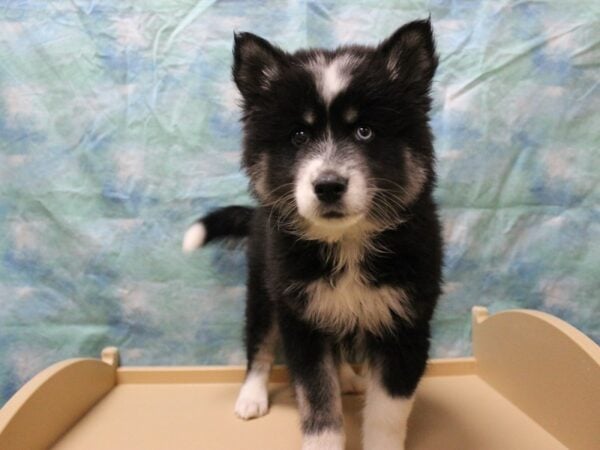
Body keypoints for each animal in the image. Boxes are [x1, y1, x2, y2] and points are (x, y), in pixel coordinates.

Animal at [185, 19, 442, 450]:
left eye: (365, 131)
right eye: (299, 136)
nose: (328, 186)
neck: (347, 243)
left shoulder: (406, 321)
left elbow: (388, 413)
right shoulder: (300, 318)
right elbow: (318, 402)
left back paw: (350, 378)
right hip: (264, 287)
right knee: (259, 344)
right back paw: (251, 396)